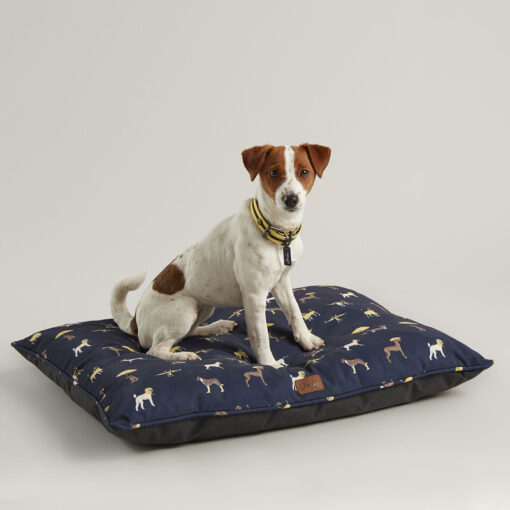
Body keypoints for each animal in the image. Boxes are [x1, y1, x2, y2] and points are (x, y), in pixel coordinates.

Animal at [110, 144, 331, 368]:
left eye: (304, 172)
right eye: (273, 173)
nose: (291, 199)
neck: (276, 231)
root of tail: (135, 321)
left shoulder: (282, 282)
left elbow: (295, 312)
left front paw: (306, 340)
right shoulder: (254, 296)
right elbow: (261, 336)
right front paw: (269, 364)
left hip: (205, 308)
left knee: (187, 334)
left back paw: (215, 327)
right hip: (186, 309)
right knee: (155, 350)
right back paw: (183, 356)